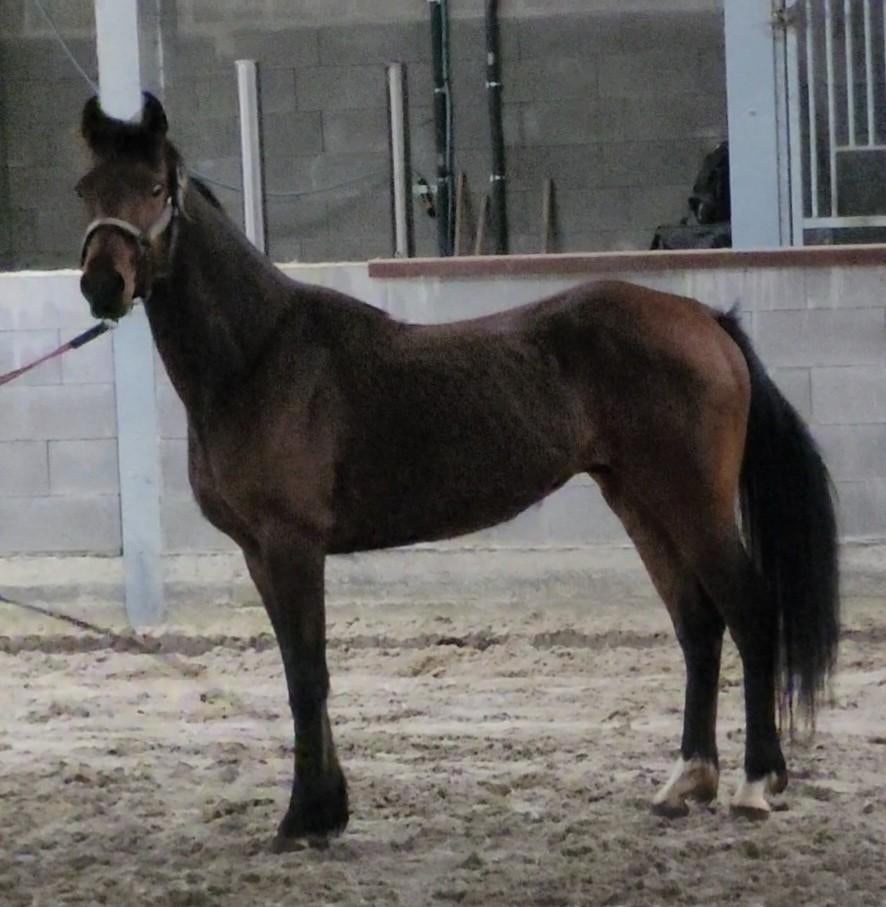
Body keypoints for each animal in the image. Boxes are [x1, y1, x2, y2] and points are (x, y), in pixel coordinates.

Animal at [76, 94, 839, 851]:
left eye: (155, 188)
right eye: (86, 189)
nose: (101, 285)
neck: (260, 354)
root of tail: (704, 318)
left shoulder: (292, 544)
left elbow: (308, 676)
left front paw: (302, 818)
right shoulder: (260, 553)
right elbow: (301, 669)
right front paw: (326, 811)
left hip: (693, 504)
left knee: (749, 611)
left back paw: (756, 782)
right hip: (639, 501)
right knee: (697, 624)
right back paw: (688, 780)